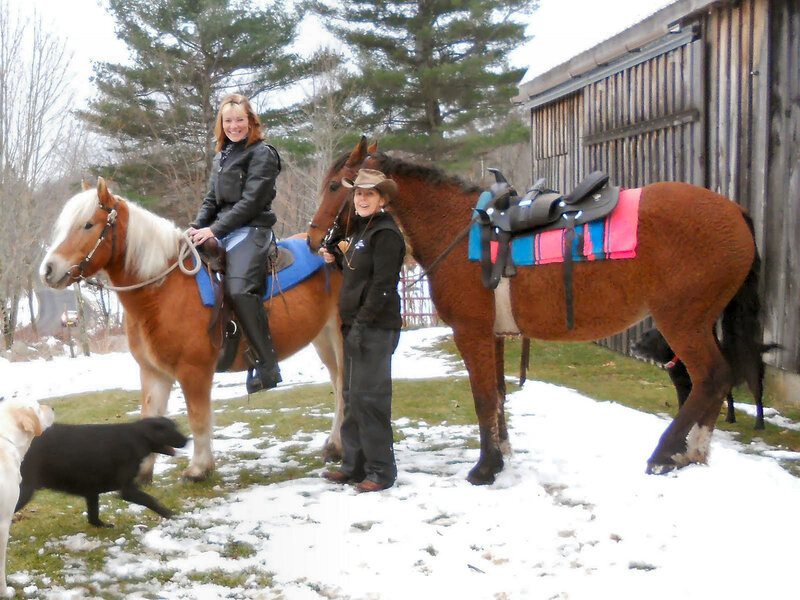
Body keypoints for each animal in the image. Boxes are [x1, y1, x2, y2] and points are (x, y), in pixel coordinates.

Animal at [40, 178, 345, 482]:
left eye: (88, 224)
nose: (48, 270)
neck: (162, 290)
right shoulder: (153, 373)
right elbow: (149, 416)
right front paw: (143, 472)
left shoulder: (194, 371)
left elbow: (198, 419)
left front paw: (199, 468)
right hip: (323, 339)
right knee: (336, 382)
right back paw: (333, 445)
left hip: (341, 336)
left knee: (344, 386)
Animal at [308, 137, 763, 484]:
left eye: (332, 187)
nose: (314, 240)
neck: (458, 228)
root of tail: (734, 211)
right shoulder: (492, 336)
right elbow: (497, 395)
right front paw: (502, 454)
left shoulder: (470, 332)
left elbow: (482, 398)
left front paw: (485, 468)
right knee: (716, 380)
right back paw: (693, 453)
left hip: (682, 322)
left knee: (710, 376)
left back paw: (668, 454)